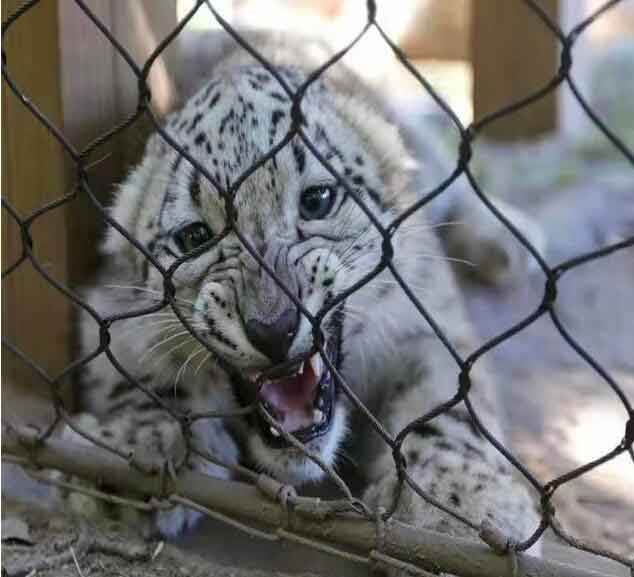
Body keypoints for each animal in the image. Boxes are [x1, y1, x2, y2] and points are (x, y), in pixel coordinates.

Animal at [63, 29, 540, 552]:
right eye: (194, 237)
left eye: (318, 199)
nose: (273, 328)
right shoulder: (106, 307)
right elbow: (135, 373)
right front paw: (132, 452)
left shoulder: (429, 321)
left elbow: (445, 410)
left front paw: (462, 506)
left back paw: (510, 240)